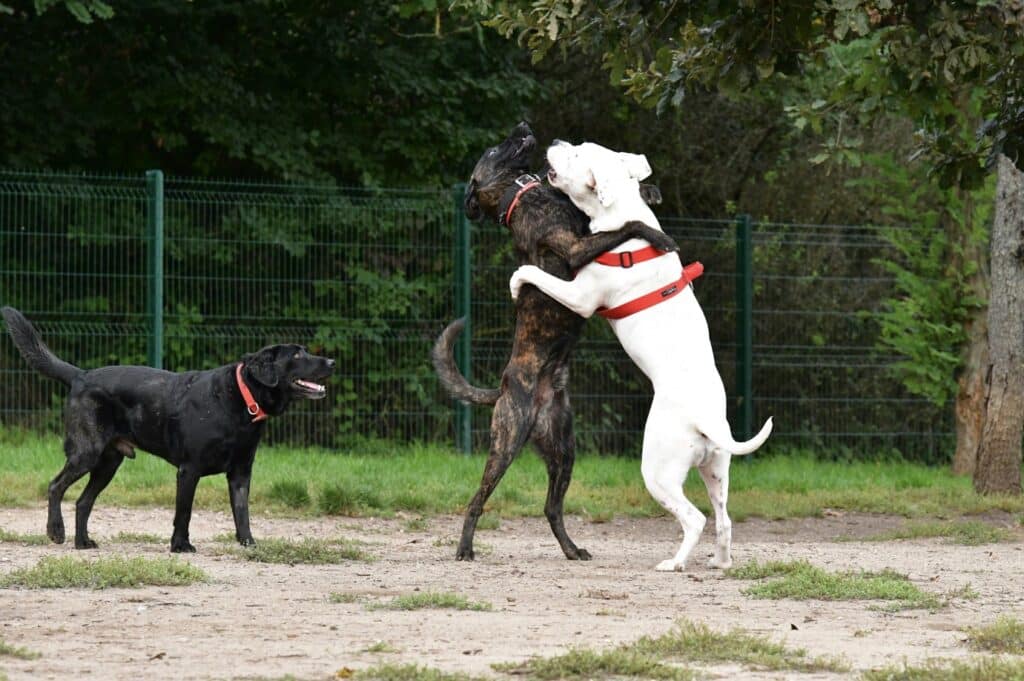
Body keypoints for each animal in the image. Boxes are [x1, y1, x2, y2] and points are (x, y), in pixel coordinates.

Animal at [2, 307, 333, 552]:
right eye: (297, 355)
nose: (331, 360)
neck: (240, 400)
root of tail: (81, 375)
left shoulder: (241, 473)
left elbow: (242, 513)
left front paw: (248, 544)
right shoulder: (189, 470)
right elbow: (183, 513)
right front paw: (180, 546)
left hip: (109, 463)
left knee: (83, 501)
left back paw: (82, 542)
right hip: (87, 452)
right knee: (55, 486)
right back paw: (56, 531)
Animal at [507, 140, 770, 569]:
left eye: (577, 154)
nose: (557, 143)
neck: (622, 216)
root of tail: (705, 420)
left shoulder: (581, 297)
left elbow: (535, 273)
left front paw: (517, 281)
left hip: (658, 472)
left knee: (695, 518)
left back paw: (674, 563)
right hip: (716, 470)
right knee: (724, 519)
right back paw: (719, 562)